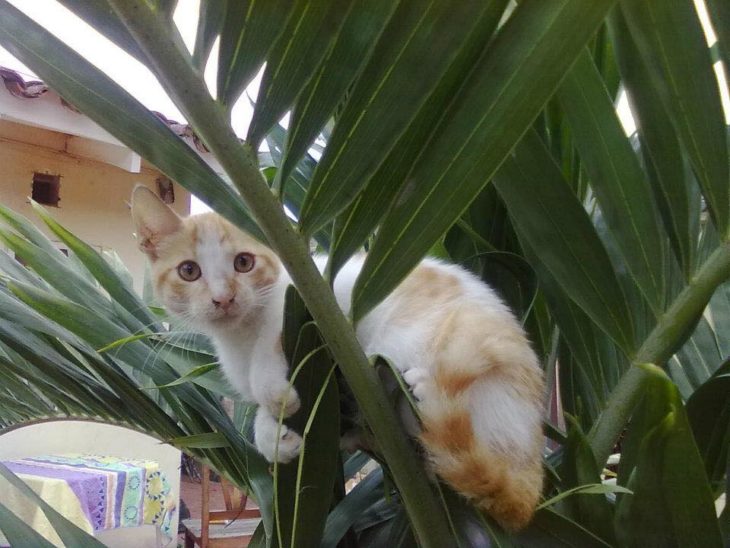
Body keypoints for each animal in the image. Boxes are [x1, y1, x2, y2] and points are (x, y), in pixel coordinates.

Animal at [131, 185, 544, 532]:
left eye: (244, 263)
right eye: (189, 271)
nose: (223, 299)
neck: (240, 337)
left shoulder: (321, 300)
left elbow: (274, 340)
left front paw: (274, 393)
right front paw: (272, 435)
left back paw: (424, 392)